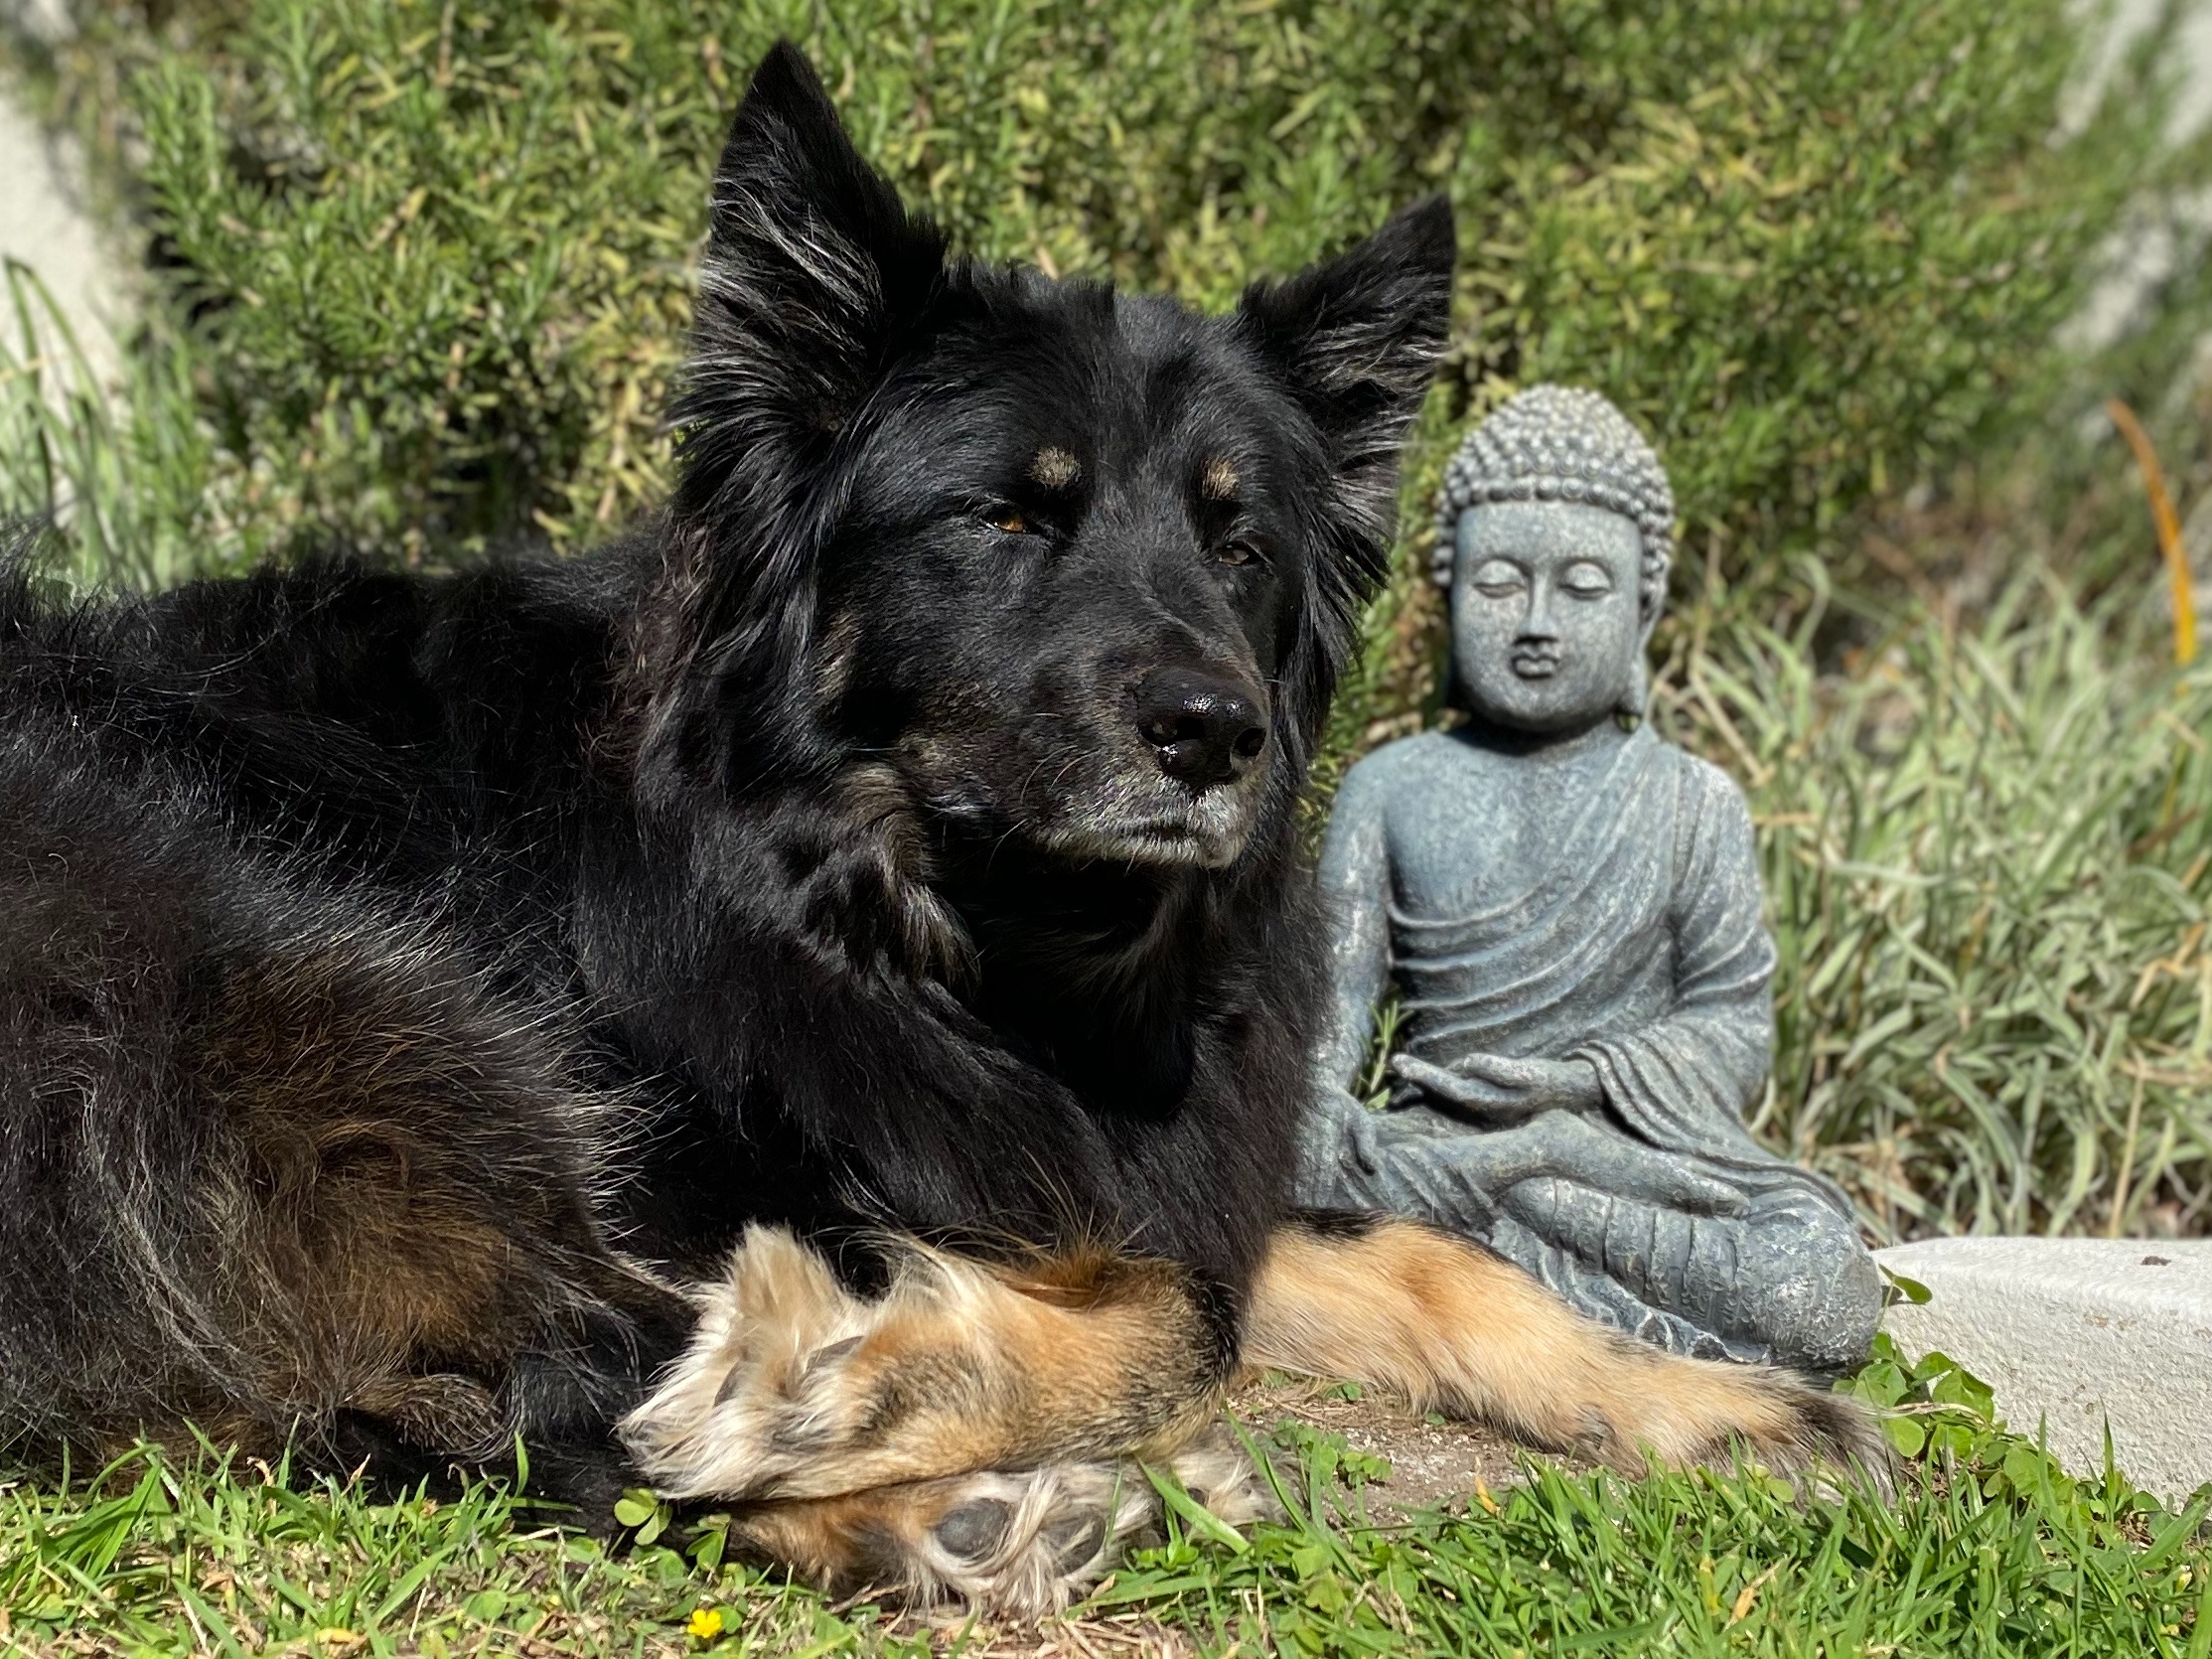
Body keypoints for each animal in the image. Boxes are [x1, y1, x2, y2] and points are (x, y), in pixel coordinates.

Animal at [0, 42, 1879, 1613]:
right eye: (1008, 517)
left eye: (1239, 542)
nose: (1215, 738)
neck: (916, 925)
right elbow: (1169, 1313)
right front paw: (857, 1376)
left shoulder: (1105, 1157)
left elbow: (1413, 1254)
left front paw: (1723, 1402)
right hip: (364, 997)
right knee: (535, 1386)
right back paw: (913, 1474)